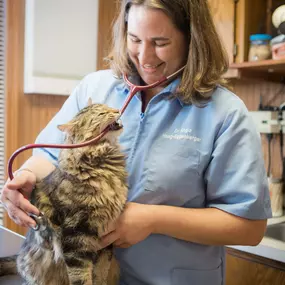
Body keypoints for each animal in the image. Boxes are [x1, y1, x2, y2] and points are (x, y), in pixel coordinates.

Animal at [0, 98, 127, 282]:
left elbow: (101, 271)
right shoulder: (75, 234)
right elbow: (81, 275)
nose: (117, 110)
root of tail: (19, 257)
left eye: (108, 106)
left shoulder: (107, 236)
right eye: (102, 113)